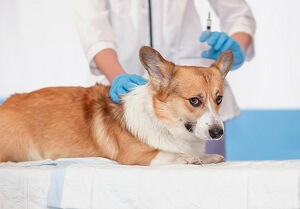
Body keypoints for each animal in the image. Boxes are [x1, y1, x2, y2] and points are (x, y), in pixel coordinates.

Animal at [0, 46, 233, 166]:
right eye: (194, 100)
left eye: (219, 99)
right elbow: (170, 154)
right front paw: (189, 158)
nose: (218, 133)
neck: (163, 122)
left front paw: (208, 157)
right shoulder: (135, 156)